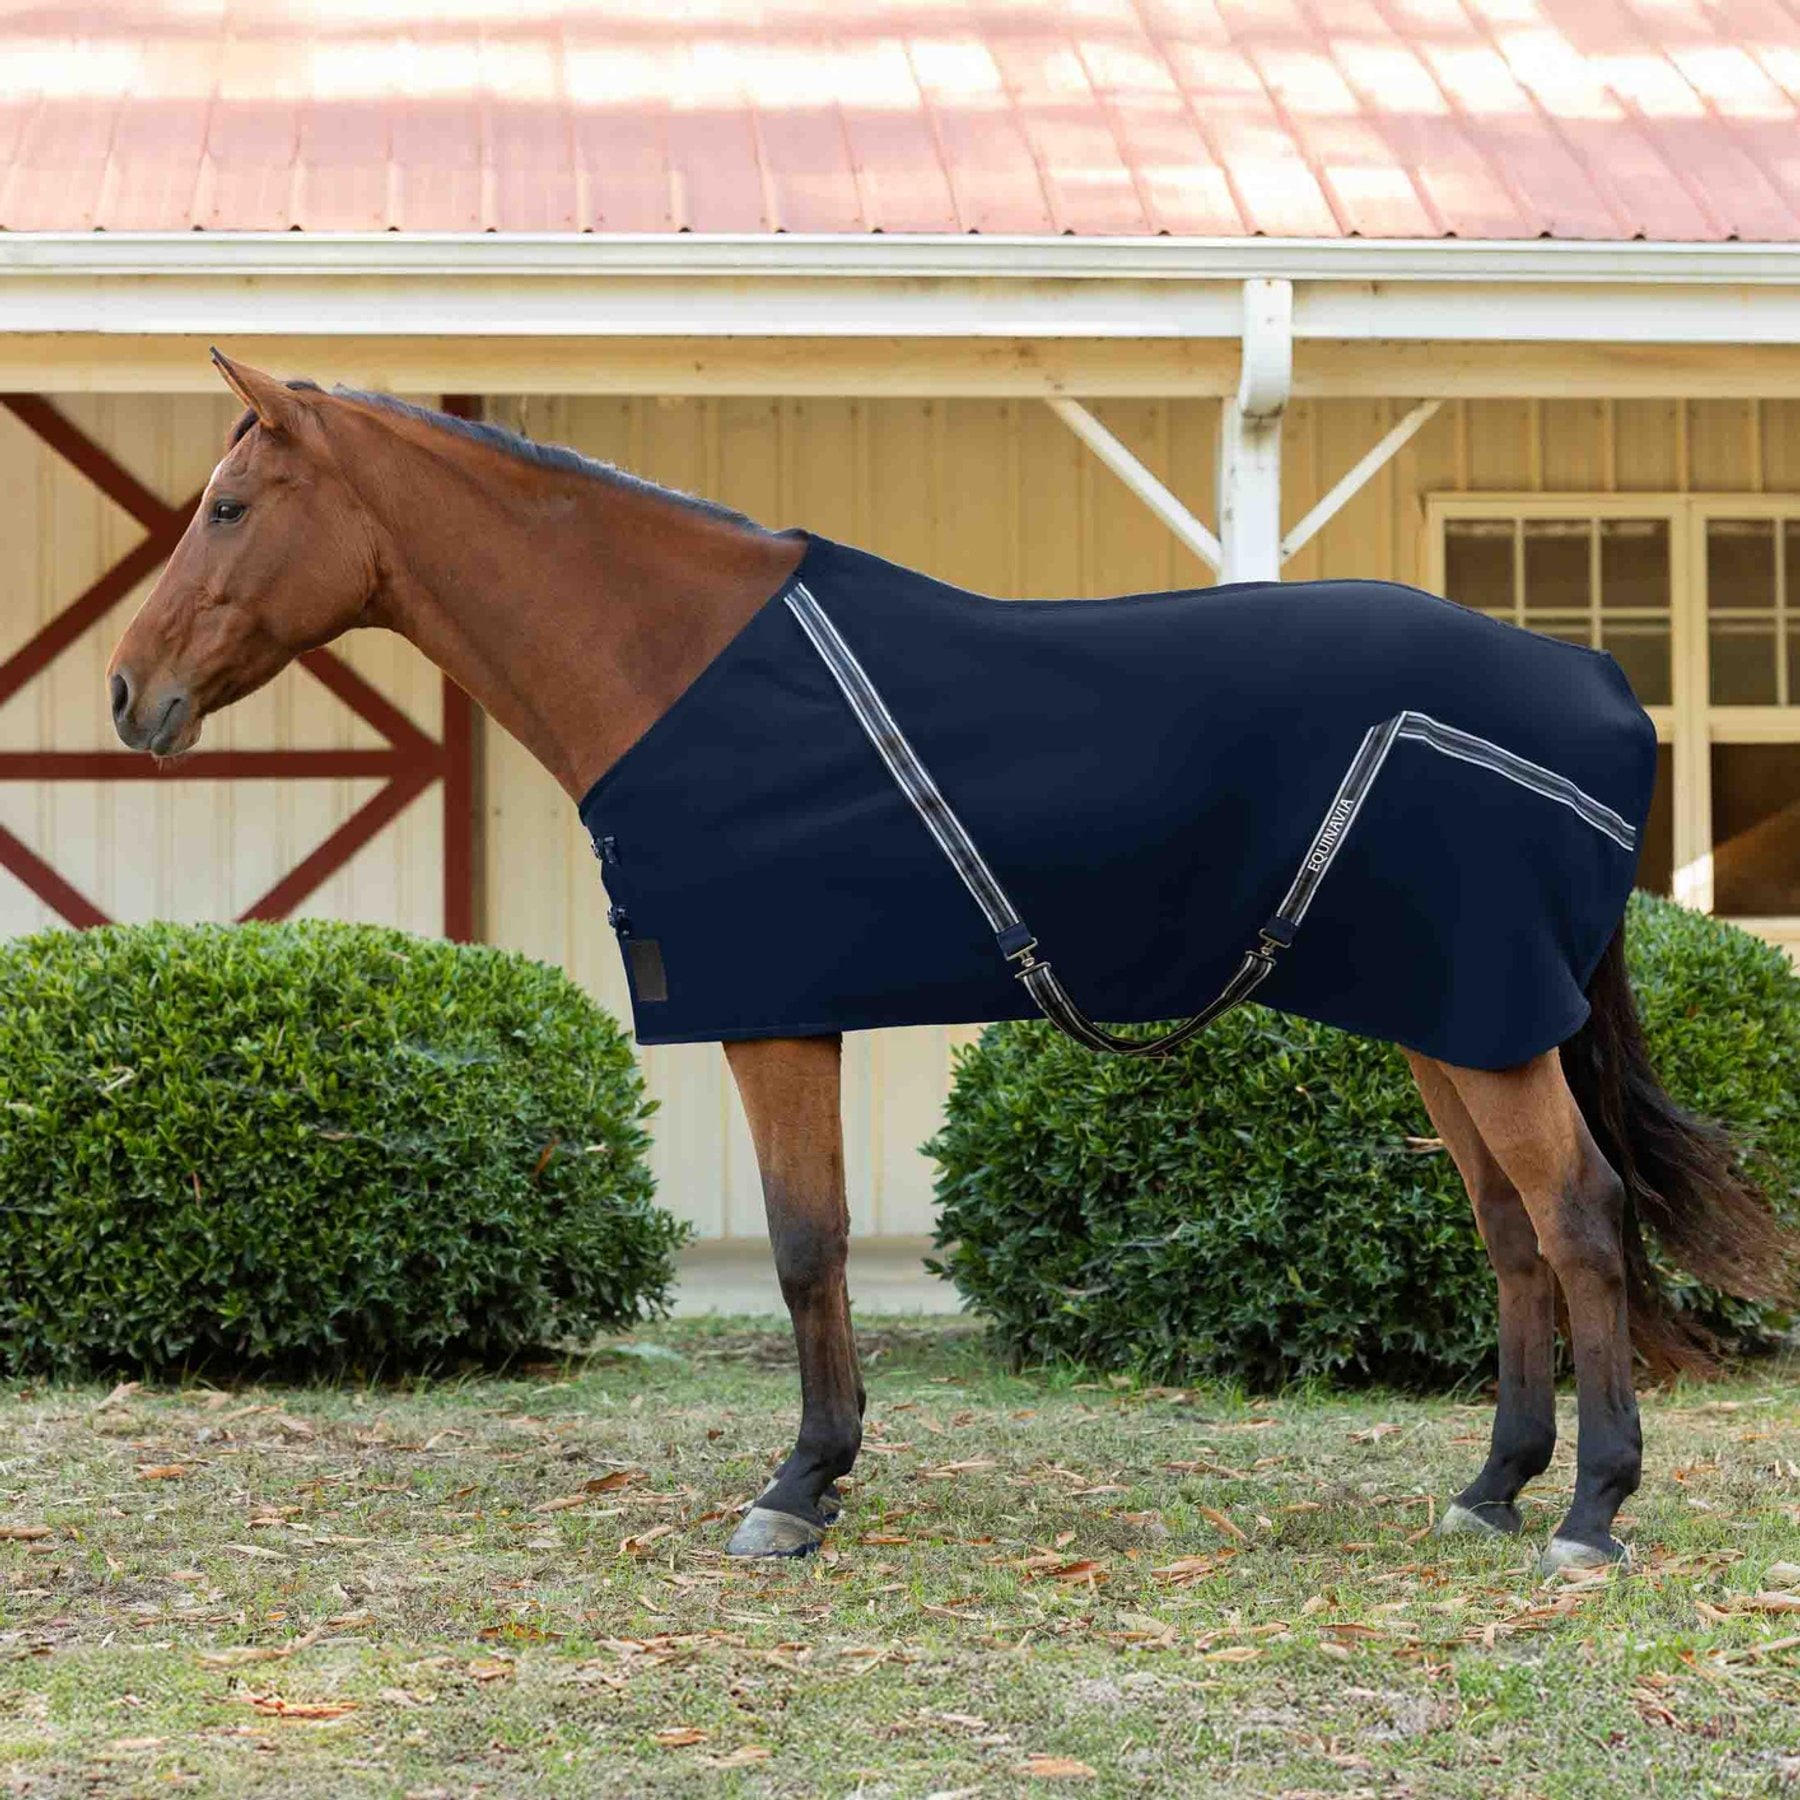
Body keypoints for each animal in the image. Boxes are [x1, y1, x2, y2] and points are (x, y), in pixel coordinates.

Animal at [106, 352, 1792, 1571]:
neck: (682, 669)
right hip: (1453, 1021)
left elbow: (805, 1246)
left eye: (229, 508)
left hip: (1486, 1026)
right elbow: (824, 1243)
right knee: (1509, 1230)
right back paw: (1494, 1488)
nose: (131, 693)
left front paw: (797, 1487)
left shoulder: (778, 1017)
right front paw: (828, 1471)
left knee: (1577, 1217)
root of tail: (1593, 682)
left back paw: (1590, 1516)